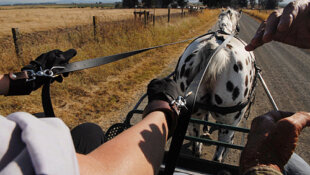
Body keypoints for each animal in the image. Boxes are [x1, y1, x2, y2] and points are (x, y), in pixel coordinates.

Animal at [174, 7, 256, 161]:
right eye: (238, 26)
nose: (238, 29)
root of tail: (212, 49)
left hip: (193, 113)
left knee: (195, 141)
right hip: (230, 121)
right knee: (220, 151)